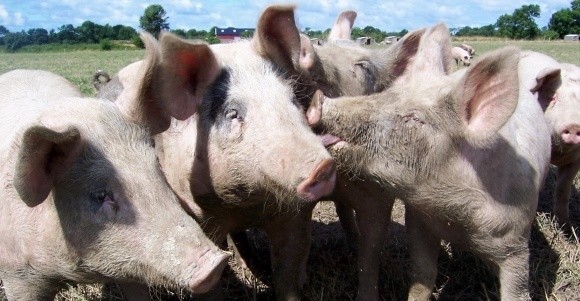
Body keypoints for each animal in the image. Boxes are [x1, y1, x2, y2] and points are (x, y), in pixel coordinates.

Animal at [92, 4, 336, 298]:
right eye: (232, 113)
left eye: (292, 101)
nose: (323, 167)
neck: (248, 201)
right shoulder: (196, 215)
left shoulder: (295, 213)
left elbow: (287, 275)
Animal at [306, 22, 552, 298]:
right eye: (388, 94)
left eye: (415, 118)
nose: (318, 100)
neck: (457, 220)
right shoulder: (419, 224)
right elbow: (421, 279)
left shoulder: (517, 244)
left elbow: (517, 291)